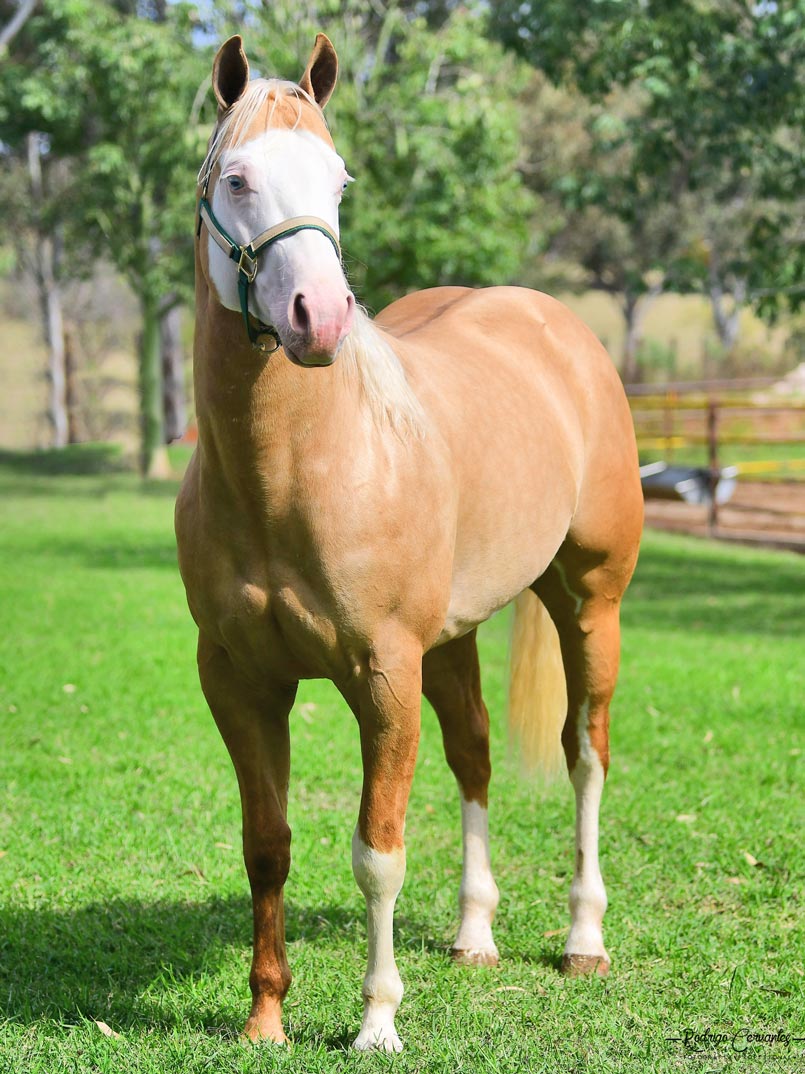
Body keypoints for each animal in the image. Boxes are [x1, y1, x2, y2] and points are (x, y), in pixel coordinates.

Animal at [176, 31, 644, 1048]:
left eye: (339, 181)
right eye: (235, 178)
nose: (317, 316)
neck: (297, 473)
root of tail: (555, 324)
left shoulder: (383, 676)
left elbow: (377, 853)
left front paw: (376, 1021)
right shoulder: (238, 680)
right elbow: (266, 846)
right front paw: (264, 1018)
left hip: (590, 603)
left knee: (585, 755)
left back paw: (584, 940)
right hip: (454, 638)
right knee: (473, 754)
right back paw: (474, 935)